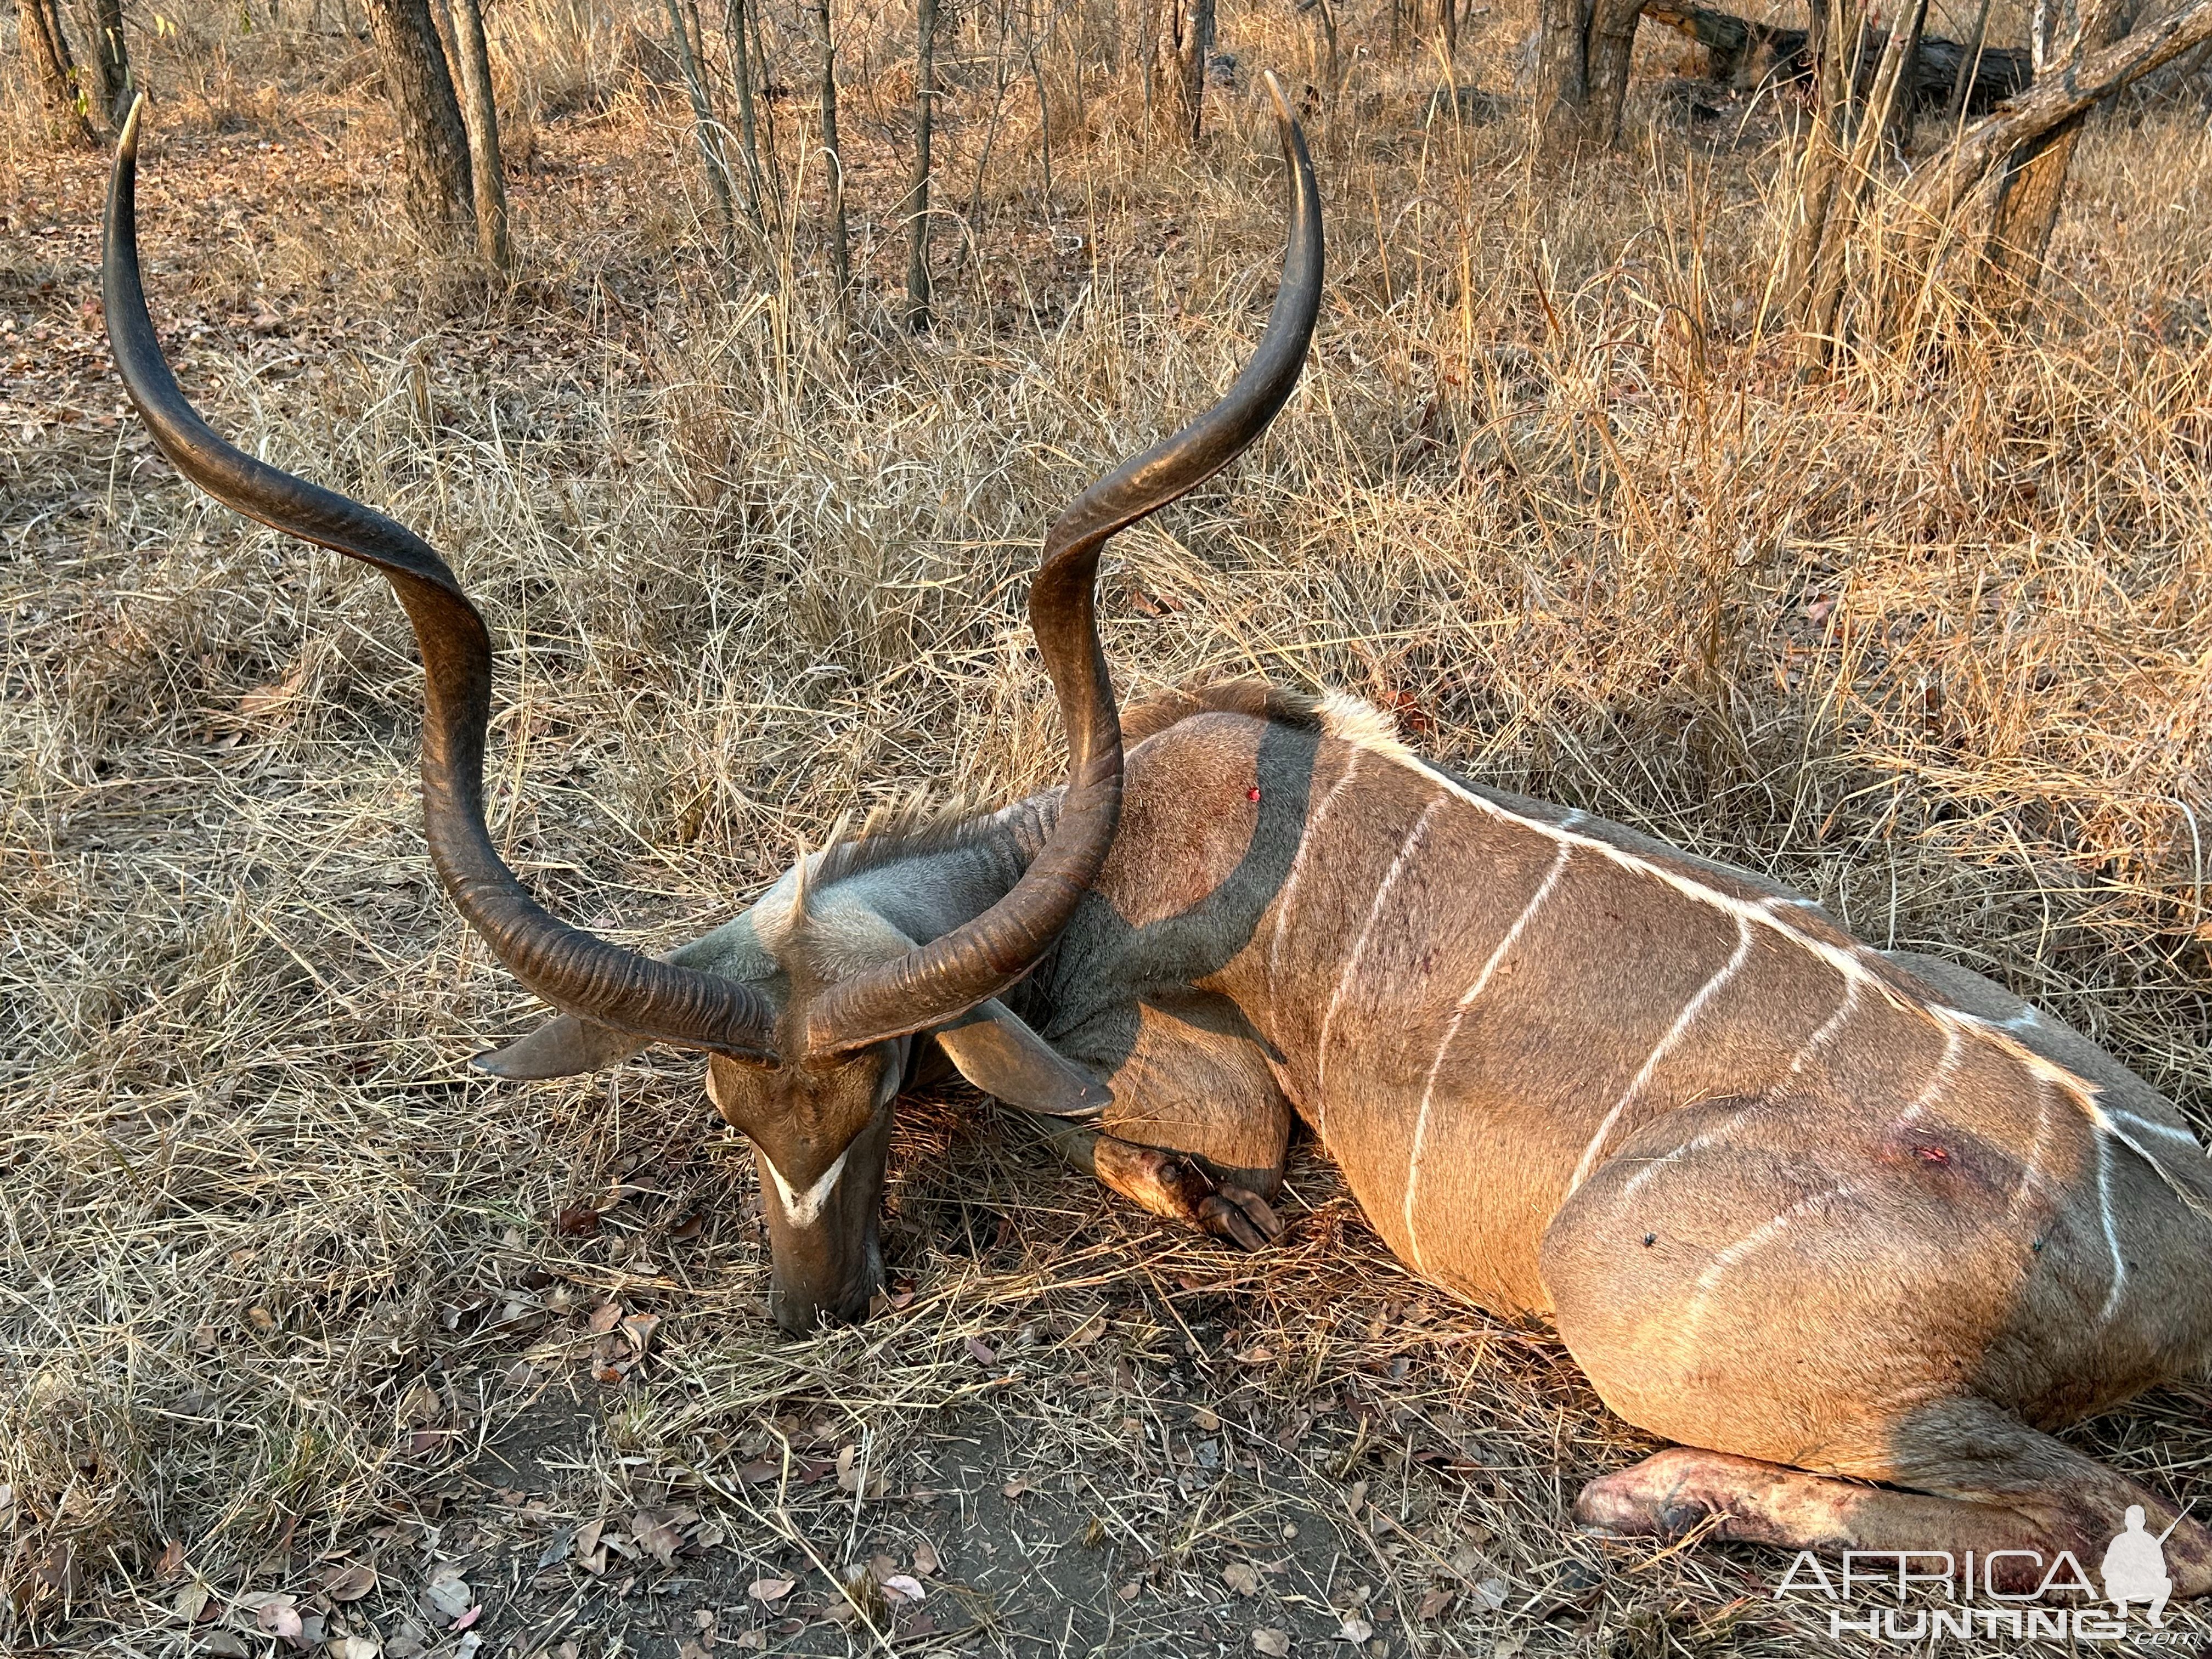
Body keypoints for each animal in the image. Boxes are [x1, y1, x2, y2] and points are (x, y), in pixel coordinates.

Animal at [108, 91, 2212, 1601]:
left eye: (883, 1091)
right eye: (726, 1111)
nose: (813, 1311)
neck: (1124, 819)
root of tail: (2170, 1228)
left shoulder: (1215, 1084)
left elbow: (1124, 1128)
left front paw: (1191, 1203)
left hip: (1631, 1299)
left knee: (2119, 1524)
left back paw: (1660, 1495)